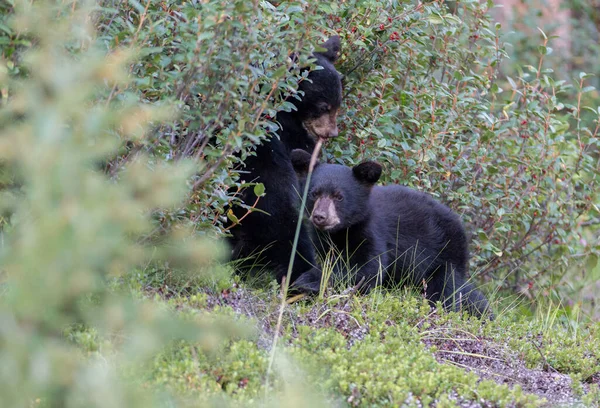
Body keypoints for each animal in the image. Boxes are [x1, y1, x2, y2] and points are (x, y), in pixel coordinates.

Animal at [290, 148, 492, 318]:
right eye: (314, 193)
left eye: (339, 196)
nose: (320, 216)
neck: (341, 231)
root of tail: (461, 227)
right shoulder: (323, 241)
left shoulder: (373, 232)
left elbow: (367, 268)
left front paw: (309, 281)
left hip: (444, 255)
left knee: (448, 289)